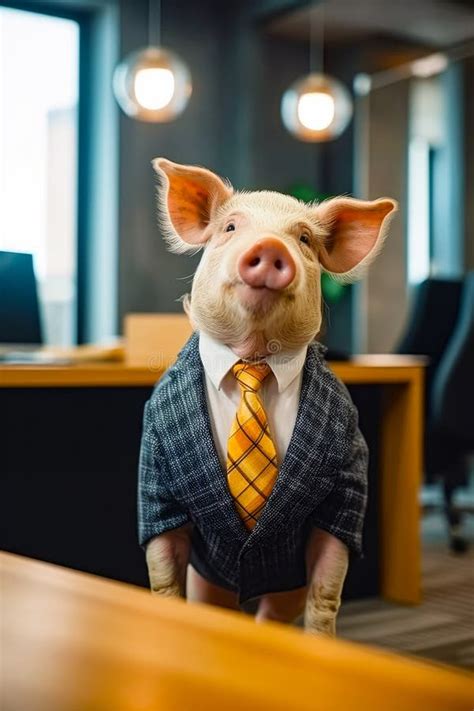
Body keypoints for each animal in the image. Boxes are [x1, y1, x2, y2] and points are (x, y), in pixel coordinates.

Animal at [139, 159, 398, 636]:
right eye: (230, 227)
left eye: (304, 239)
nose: (270, 246)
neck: (253, 358)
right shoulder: (157, 476)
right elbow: (164, 576)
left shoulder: (347, 479)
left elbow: (327, 589)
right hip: (209, 580)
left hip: (285, 588)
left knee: (276, 611)